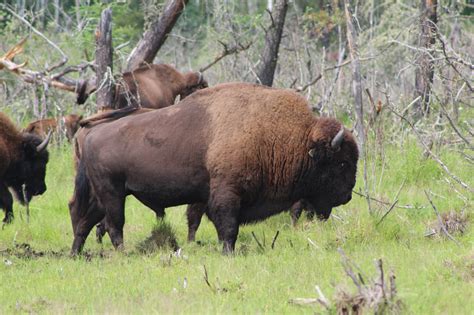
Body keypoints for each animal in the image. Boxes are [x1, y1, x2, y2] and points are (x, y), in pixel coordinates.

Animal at [69, 82, 360, 256]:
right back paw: (122, 253)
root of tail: (90, 132)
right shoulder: (227, 193)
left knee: (85, 220)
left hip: (102, 195)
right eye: (342, 162)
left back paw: (76, 254)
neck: (292, 138)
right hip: (113, 193)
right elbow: (228, 227)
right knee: (113, 224)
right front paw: (228, 253)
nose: (347, 196)